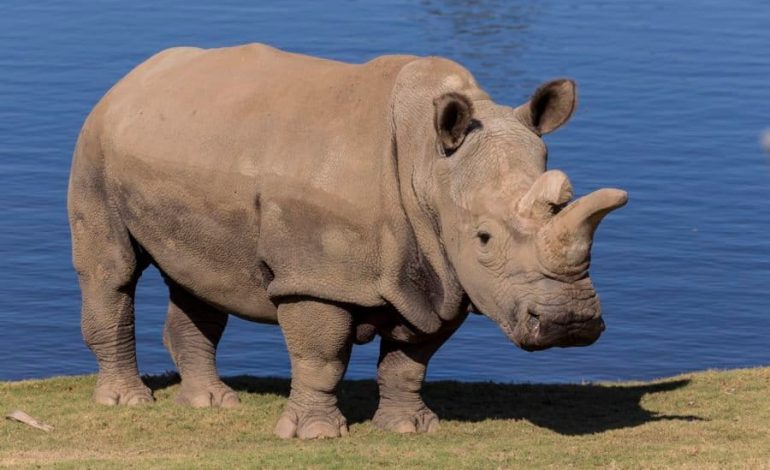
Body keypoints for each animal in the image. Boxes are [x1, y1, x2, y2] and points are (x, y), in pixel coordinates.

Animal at [68, 43, 627, 439]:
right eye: (484, 238)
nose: (571, 323)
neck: (430, 167)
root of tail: (131, 77)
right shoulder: (317, 276)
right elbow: (322, 356)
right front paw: (315, 435)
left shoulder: (442, 271)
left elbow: (411, 359)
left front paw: (409, 428)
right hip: (95, 144)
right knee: (110, 272)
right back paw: (127, 401)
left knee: (200, 280)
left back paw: (210, 403)